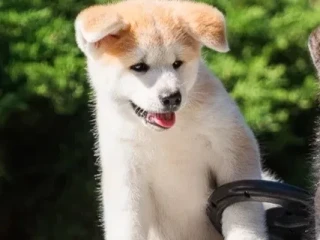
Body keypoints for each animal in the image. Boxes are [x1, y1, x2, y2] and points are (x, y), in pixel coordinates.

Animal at [74, 0, 268, 239]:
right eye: (139, 67)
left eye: (177, 63)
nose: (172, 97)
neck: (166, 137)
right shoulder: (127, 174)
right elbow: (128, 223)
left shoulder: (232, 146)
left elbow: (243, 212)